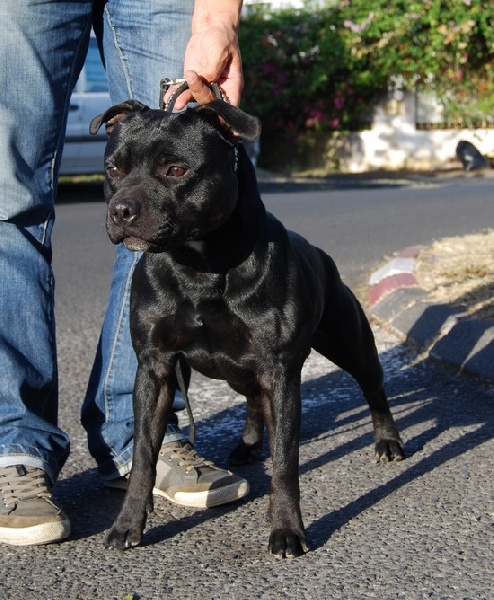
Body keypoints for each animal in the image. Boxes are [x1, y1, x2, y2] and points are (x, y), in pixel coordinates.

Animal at [90, 98, 405, 558]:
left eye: (176, 169)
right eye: (113, 169)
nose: (121, 210)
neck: (200, 266)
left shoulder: (281, 371)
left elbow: (286, 461)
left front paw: (288, 529)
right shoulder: (155, 369)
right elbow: (144, 456)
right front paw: (127, 524)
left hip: (351, 343)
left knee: (373, 388)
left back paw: (387, 441)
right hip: (236, 370)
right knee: (254, 400)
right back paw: (247, 445)